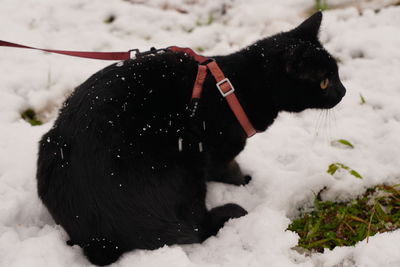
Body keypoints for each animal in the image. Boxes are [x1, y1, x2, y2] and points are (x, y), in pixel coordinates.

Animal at [36, 12, 346, 266]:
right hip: (186, 159)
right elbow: (229, 168)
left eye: (337, 74)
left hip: (48, 146)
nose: (343, 91)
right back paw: (229, 212)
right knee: (195, 228)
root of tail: (98, 239)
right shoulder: (220, 150)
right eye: (324, 82)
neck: (234, 88)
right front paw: (244, 180)